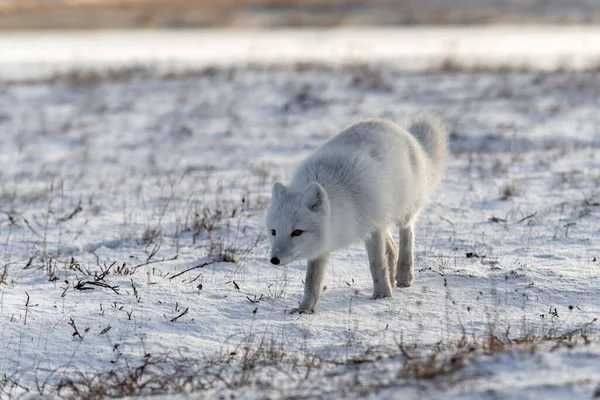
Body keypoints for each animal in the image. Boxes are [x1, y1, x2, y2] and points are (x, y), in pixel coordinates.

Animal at [264, 111, 448, 312]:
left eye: (297, 232)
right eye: (274, 232)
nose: (274, 260)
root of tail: (405, 132)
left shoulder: (372, 228)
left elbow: (377, 264)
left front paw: (382, 295)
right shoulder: (323, 243)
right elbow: (312, 280)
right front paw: (305, 309)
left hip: (402, 212)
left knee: (407, 232)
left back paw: (403, 275)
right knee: (392, 248)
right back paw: (393, 280)